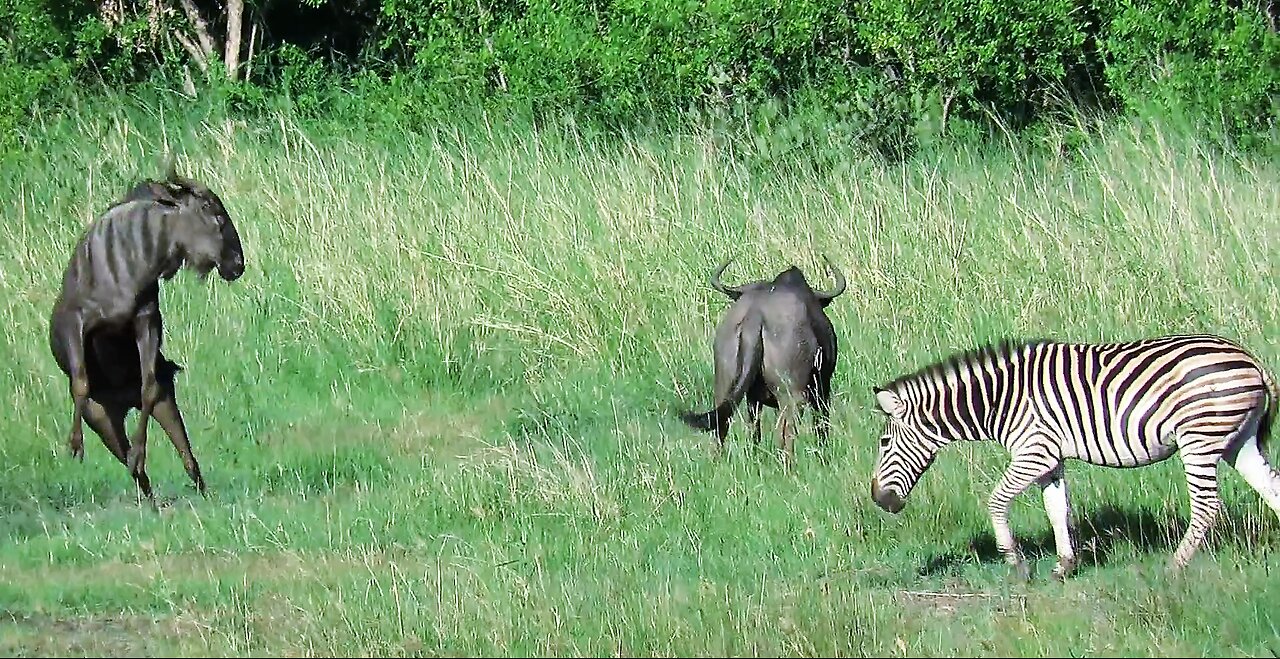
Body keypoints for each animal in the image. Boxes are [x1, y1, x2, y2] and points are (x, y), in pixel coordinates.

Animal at [49, 162, 247, 504]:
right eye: (214, 211)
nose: (237, 265)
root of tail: (122, 403)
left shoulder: (147, 321)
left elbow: (149, 385)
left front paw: (140, 451)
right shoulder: (74, 322)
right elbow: (80, 383)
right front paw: (74, 445)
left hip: (166, 405)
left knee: (186, 458)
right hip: (102, 420)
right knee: (139, 475)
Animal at [870, 335, 1280, 583]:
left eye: (884, 441)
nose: (878, 499)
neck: (999, 401)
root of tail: (1250, 359)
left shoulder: (1033, 451)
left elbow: (997, 501)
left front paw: (1016, 563)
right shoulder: (1050, 459)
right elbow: (1057, 509)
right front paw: (1065, 565)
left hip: (1199, 438)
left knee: (1207, 506)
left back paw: (1174, 566)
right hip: (1237, 442)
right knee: (1273, 489)